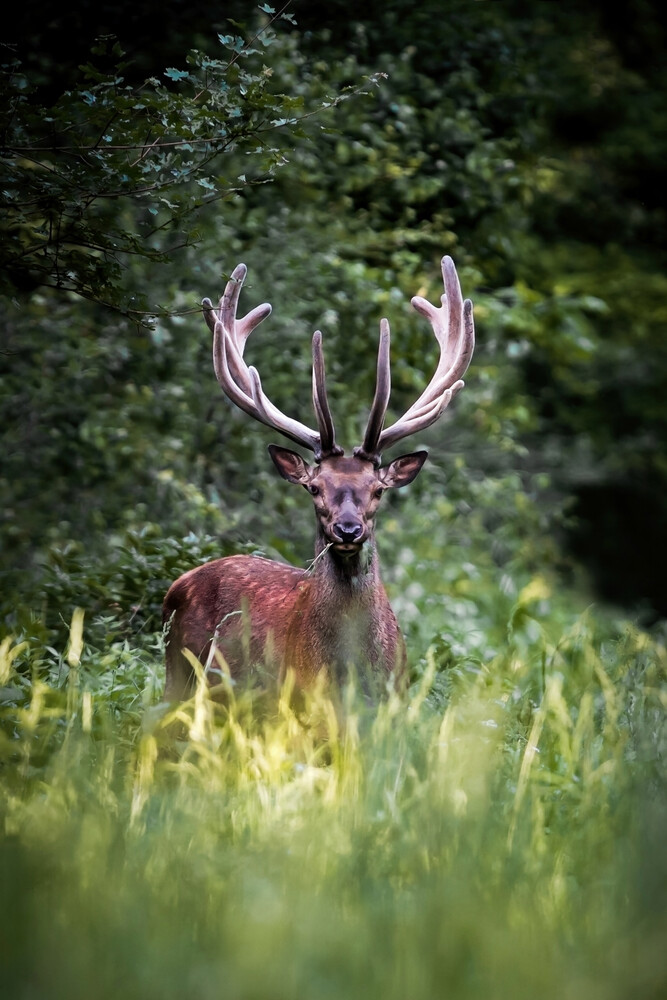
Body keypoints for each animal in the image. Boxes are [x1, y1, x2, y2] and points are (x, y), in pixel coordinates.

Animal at [162, 256, 474, 701]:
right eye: (313, 487)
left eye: (378, 489)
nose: (348, 529)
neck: (351, 672)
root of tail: (177, 584)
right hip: (179, 672)